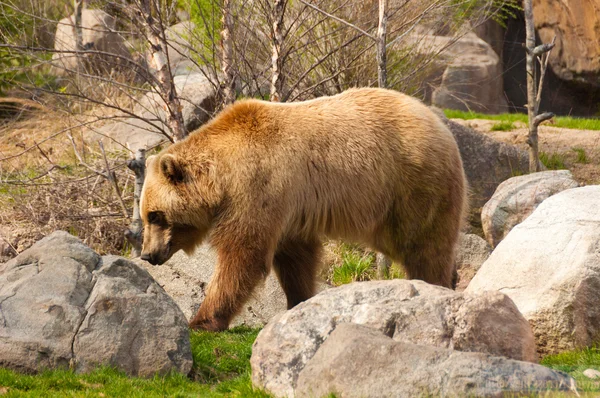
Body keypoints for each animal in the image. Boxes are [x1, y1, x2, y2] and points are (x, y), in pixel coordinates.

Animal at [142, 88, 468, 332]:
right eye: (145, 216)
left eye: (155, 216)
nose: (147, 254)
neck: (222, 178)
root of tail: (438, 121)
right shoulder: (289, 209)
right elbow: (295, 259)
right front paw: (298, 303)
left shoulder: (257, 188)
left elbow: (243, 254)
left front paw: (202, 320)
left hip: (412, 184)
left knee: (425, 244)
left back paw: (435, 285)